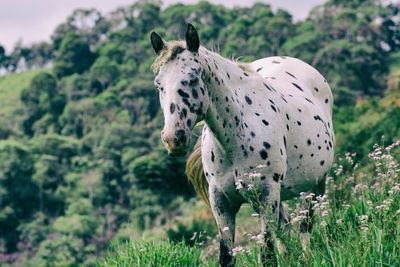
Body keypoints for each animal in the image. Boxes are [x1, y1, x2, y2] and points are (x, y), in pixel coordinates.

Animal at [150, 24, 334, 266]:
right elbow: (227, 257)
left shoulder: (266, 195)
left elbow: (267, 255)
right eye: (158, 84)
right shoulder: (222, 203)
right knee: (286, 229)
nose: (173, 138)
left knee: (305, 227)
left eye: (192, 78)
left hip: (314, 185)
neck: (233, 141)